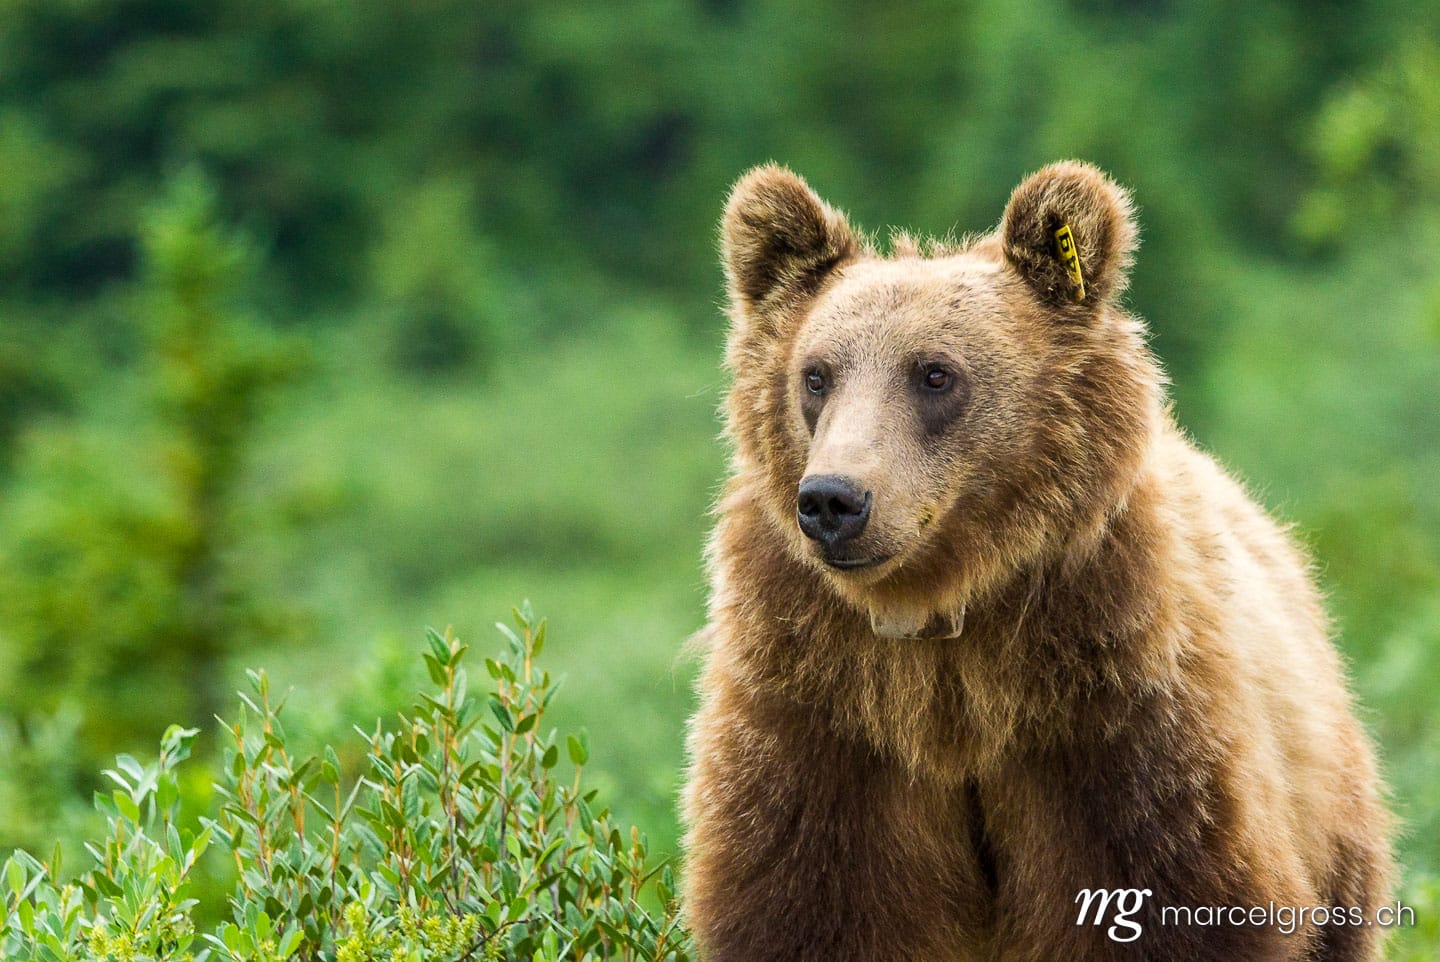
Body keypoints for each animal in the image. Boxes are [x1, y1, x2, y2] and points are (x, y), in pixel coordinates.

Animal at [681, 161, 1394, 962]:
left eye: (935, 373)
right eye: (816, 375)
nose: (834, 500)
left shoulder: (1115, 715)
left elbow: (1166, 904)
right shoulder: (817, 713)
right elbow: (807, 904)